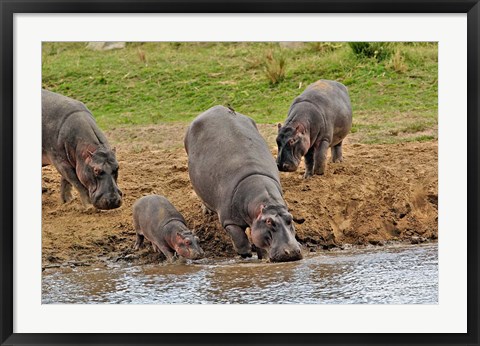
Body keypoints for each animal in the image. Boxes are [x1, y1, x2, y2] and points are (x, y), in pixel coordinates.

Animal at [185, 105, 302, 262]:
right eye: (269, 222)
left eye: (291, 218)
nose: (293, 252)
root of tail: (214, 108)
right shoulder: (229, 221)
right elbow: (241, 241)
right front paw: (246, 256)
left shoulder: (256, 223)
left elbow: (258, 241)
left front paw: (262, 257)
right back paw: (207, 211)